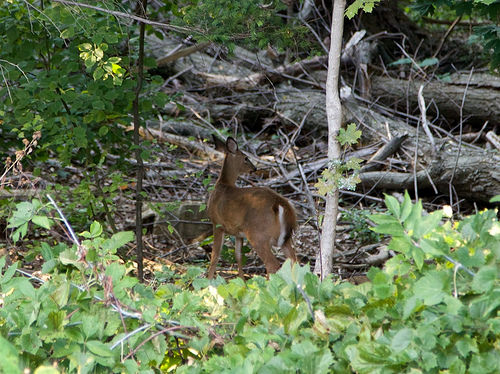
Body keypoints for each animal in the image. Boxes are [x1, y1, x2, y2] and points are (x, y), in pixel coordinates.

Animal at [207, 136, 296, 280]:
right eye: (246, 158)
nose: (254, 168)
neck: (223, 184)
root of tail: (280, 203)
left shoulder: (217, 223)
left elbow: (215, 256)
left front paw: (207, 281)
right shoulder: (238, 232)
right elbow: (238, 256)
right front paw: (242, 281)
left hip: (257, 235)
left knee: (273, 265)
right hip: (285, 239)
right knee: (294, 261)